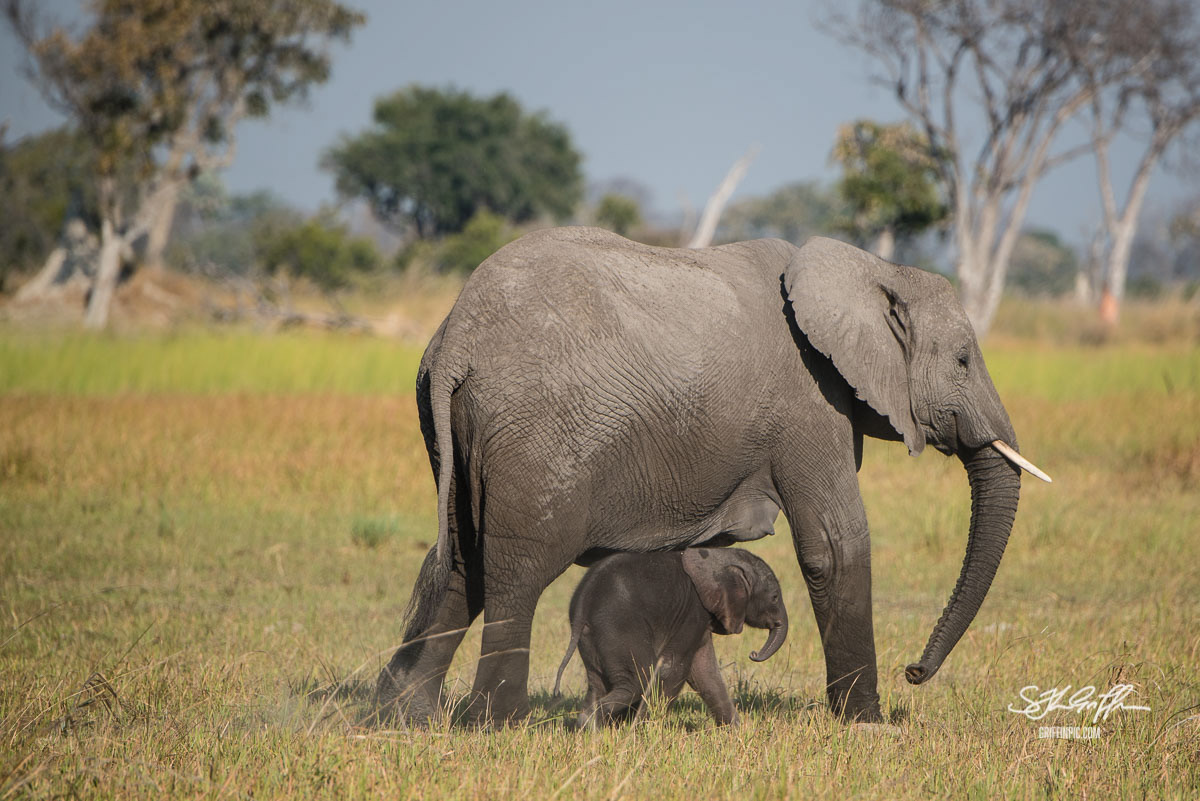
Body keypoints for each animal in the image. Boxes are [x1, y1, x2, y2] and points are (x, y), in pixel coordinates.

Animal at [552, 548, 789, 728]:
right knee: (638, 680)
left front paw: (737, 732)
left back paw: (590, 729)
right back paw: (593, 723)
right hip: (616, 628)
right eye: (775, 597)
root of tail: (582, 606)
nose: (753, 654)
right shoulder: (692, 610)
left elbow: (705, 671)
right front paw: (642, 730)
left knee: (597, 685)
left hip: (591, 638)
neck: (715, 556)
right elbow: (675, 668)